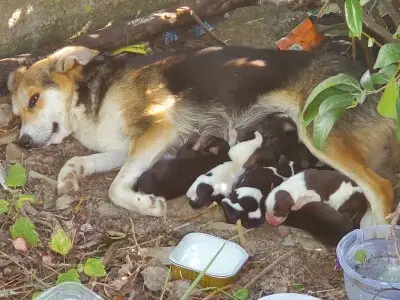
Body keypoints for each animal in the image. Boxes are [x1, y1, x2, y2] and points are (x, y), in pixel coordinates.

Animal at [7, 45, 398, 224]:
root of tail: (375, 81)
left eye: (33, 100)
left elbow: (116, 187)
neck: (92, 93)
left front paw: (145, 204)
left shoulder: (157, 129)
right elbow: (80, 160)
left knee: (381, 188)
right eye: (15, 115)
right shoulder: (123, 148)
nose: (22, 143)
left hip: (318, 132)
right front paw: (70, 177)